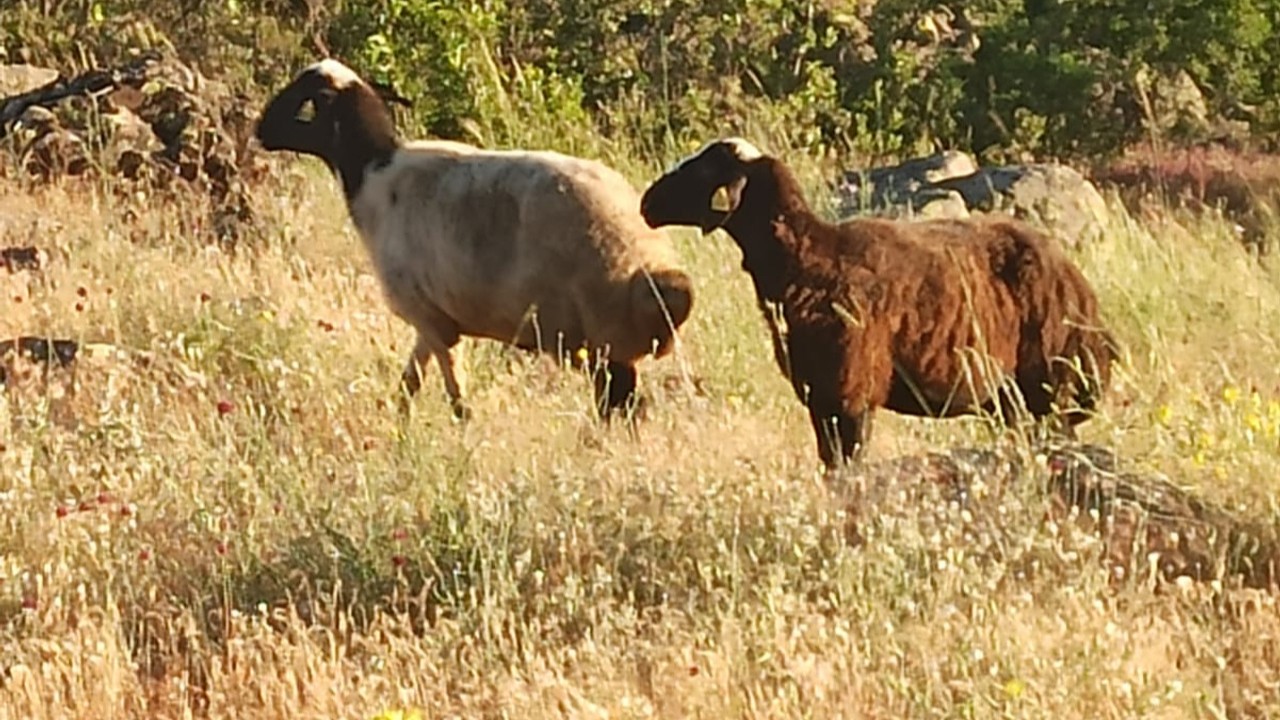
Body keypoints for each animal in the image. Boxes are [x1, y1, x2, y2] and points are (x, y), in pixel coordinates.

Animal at [645, 137, 1116, 468]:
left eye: (706, 169)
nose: (648, 202)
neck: (809, 260)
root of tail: (1083, 292)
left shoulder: (851, 392)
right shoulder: (821, 398)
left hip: (1050, 393)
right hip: (1011, 403)